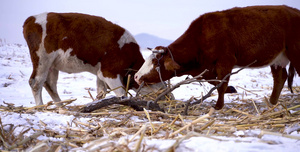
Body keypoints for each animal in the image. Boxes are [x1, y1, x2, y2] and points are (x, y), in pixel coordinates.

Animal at [22, 12, 166, 105]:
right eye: (154, 78)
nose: (165, 94)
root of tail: (31, 19)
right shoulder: (109, 73)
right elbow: (121, 94)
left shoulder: (100, 74)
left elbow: (101, 92)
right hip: (42, 58)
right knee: (36, 82)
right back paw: (40, 107)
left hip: (52, 65)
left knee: (50, 85)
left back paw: (61, 106)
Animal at [136, 5, 300, 110]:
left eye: (155, 62)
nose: (137, 76)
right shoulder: (207, 68)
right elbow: (215, 82)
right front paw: (231, 89)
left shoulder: (226, 61)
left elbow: (221, 84)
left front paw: (218, 106)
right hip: (278, 59)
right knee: (280, 78)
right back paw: (272, 103)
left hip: (295, 53)